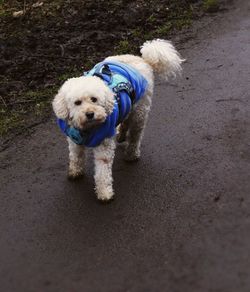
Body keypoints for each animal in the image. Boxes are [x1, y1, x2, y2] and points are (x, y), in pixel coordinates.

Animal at [52, 39, 184, 201]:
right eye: (77, 102)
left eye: (94, 99)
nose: (90, 114)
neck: (88, 129)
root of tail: (143, 59)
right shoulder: (74, 141)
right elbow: (76, 156)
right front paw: (75, 172)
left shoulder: (104, 145)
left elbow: (102, 171)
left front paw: (104, 193)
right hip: (129, 106)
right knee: (125, 120)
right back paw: (120, 134)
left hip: (140, 111)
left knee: (135, 135)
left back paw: (131, 154)